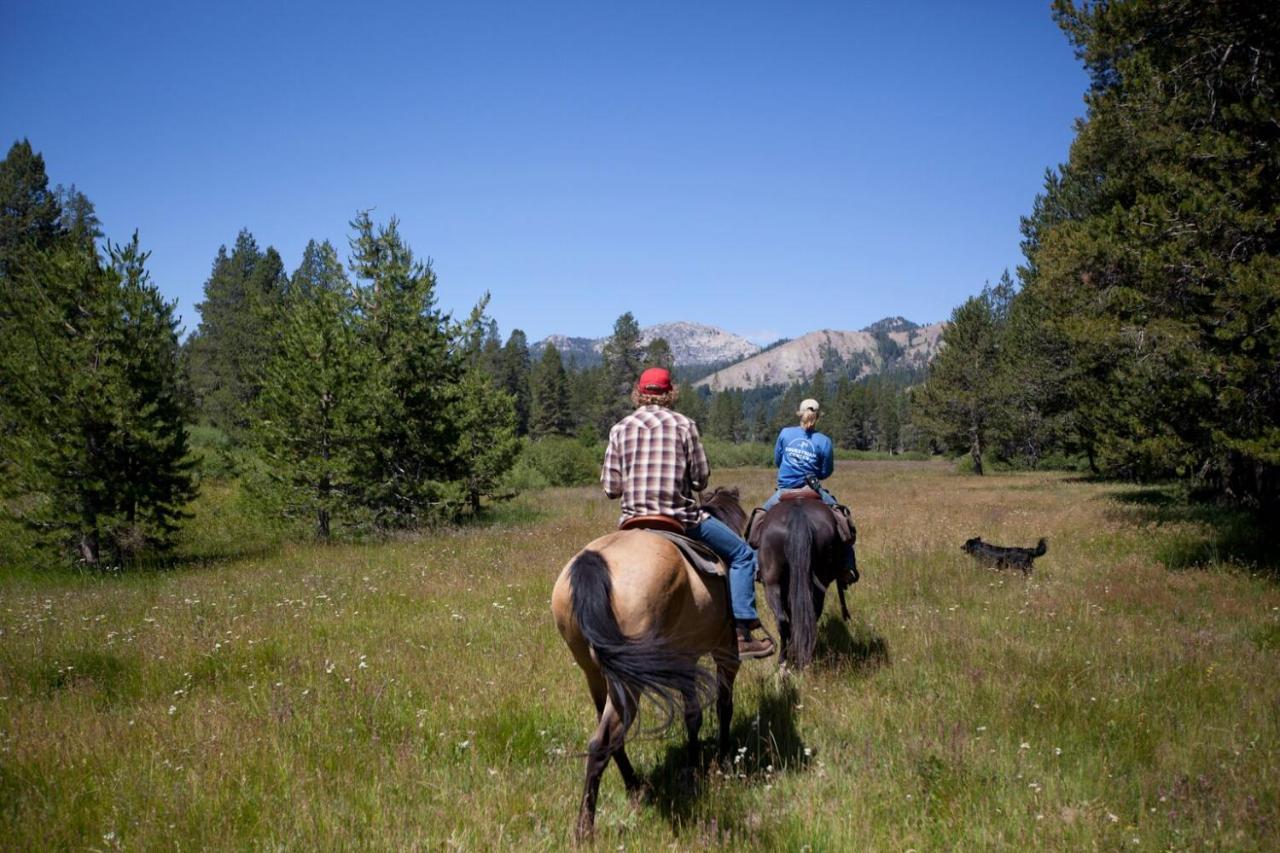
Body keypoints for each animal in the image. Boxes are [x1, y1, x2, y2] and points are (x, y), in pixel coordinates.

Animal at [552, 484, 747, 835]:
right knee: (602, 741)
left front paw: (693, 766)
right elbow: (724, 705)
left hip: (595, 673)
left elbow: (693, 715)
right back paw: (586, 829)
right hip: (630, 680)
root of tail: (594, 561)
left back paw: (633, 787)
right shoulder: (725, 651)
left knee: (610, 737)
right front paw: (723, 759)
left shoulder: (684, 661)